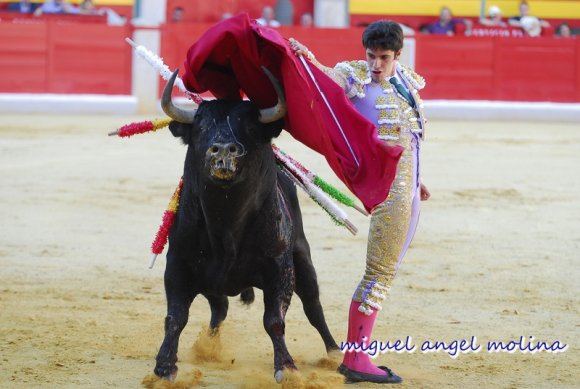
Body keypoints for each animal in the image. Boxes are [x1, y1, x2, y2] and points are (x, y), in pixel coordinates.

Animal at [154, 70, 340, 382]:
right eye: (200, 125)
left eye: (250, 127)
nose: (224, 151)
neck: (226, 221)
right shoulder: (178, 264)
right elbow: (175, 317)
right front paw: (164, 367)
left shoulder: (280, 269)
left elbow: (274, 320)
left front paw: (286, 367)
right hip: (213, 282)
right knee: (220, 309)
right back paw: (208, 347)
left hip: (303, 260)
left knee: (314, 308)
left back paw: (336, 354)